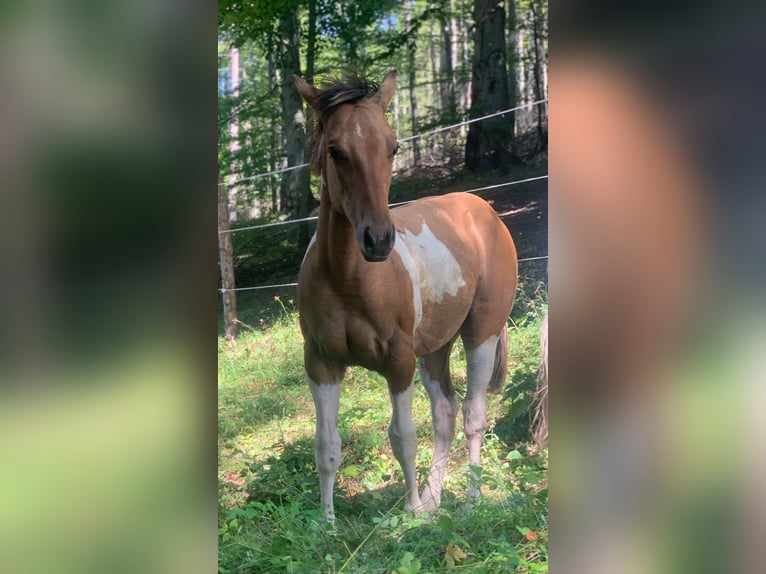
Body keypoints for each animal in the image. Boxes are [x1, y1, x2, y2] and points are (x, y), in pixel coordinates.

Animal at [294, 70, 518, 523]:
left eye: (393, 146)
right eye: (335, 150)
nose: (379, 240)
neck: (348, 279)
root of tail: (483, 211)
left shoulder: (398, 362)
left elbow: (403, 437)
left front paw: (410, 513)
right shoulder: (321, 364)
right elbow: (326, 446)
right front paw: (327, 524)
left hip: (481, 335)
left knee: (473, 414)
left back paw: (470, 501)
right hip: (434, 348)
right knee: (445, 413)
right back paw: (435, 500)